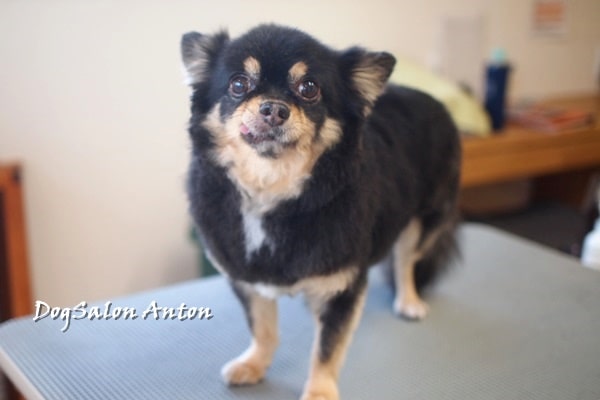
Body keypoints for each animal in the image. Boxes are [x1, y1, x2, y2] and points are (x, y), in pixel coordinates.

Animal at [181, 24, 461, 400]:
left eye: (309, 88)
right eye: (238, 84)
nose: (273, 109)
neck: (272, 192)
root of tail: (432, 98)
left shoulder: (342, 287)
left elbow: (328, 348)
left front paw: (319, 392)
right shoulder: (247, 279)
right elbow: (263, 329)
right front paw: (254, 364)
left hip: (423, 220)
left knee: (405, 262)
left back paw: (409, 301)